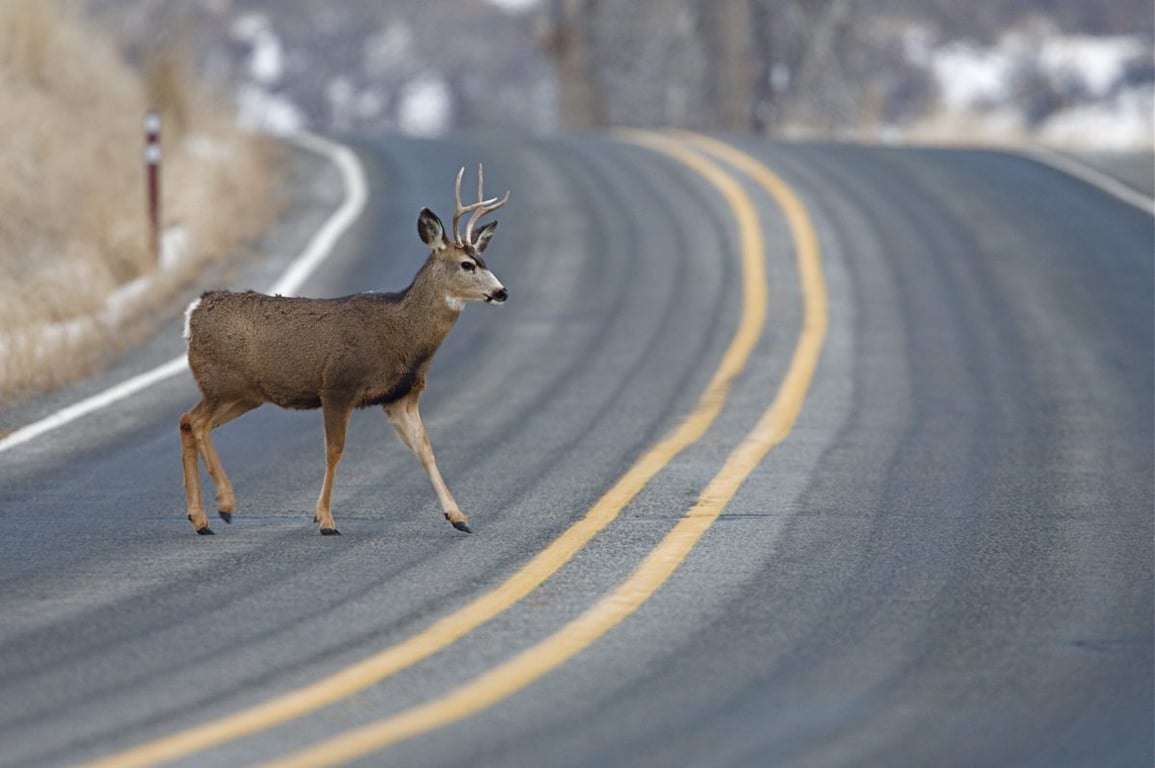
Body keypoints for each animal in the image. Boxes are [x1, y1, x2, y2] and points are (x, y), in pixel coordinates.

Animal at [176, 162, 510, 533]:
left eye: (483, 259)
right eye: (467, 264)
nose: (501, 292)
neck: (403, 334)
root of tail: (194, 312)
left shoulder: (400, 396)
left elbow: (425, 448)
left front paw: (458, 516)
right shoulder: (338, 386)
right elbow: (335, 451)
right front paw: (325, 519)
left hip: (244, 395)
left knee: (188, 422)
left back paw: (199, 517)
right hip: (222, 383)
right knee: (198, 422)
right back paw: (224, 504)